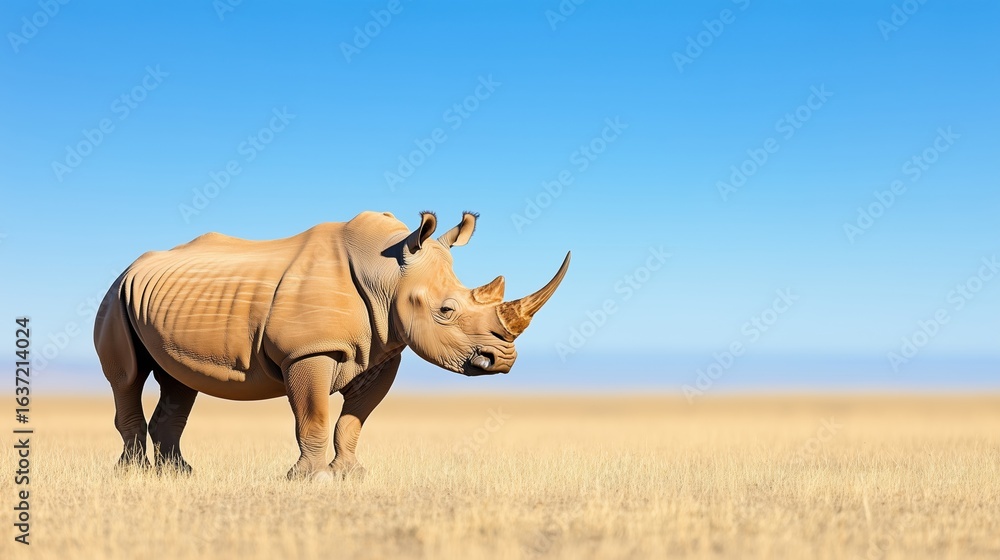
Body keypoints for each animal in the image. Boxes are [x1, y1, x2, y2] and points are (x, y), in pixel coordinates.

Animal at [94, 211, 569, 479]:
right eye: (446, 311)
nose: (502, 360)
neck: (388, 275)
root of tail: (132, 266)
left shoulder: (382, 350)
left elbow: (353, 420)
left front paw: (351, 475)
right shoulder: (309, 350)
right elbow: (315, 417)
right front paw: (310, 479)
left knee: (179, 381)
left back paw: (179, 475)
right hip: (116, 295)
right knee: (127, 377)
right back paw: (133, 475)